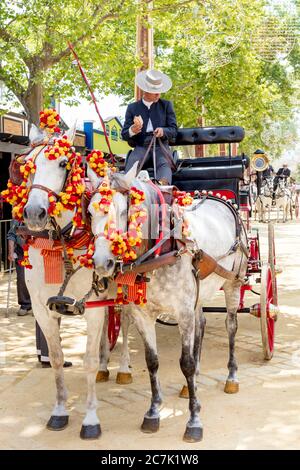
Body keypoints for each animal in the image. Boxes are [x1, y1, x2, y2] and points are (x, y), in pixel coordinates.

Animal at [88, 165, 247, 440]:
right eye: (89, 211)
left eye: (122, 211)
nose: (101, 263)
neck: (161, 252)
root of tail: (219, 199)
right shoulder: (143, 315)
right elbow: (152, 362)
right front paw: (153, 411)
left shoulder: (182, 313)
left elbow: (186, 363)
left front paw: (194, 419)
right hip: (198, 295)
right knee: (201, 324)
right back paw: (190, 384)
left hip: (233, 283)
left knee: (231, 327)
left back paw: (231, 376)